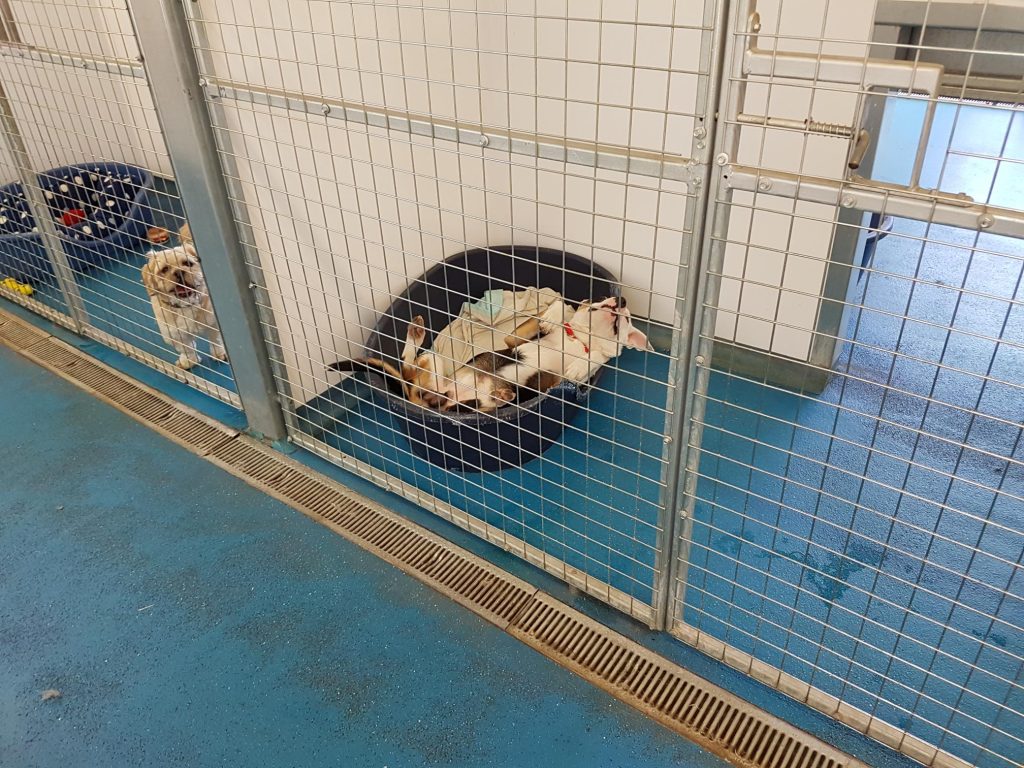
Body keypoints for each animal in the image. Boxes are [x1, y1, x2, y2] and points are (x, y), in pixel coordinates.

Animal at [140, 222, 226, 370]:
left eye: (188, 263)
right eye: (164, 269)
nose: (179, 272)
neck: (186, 304)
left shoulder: (214, 322)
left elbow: (216, 340)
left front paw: (219, 354)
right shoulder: (173, 332)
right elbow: (186, 348)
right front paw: (189, 361)